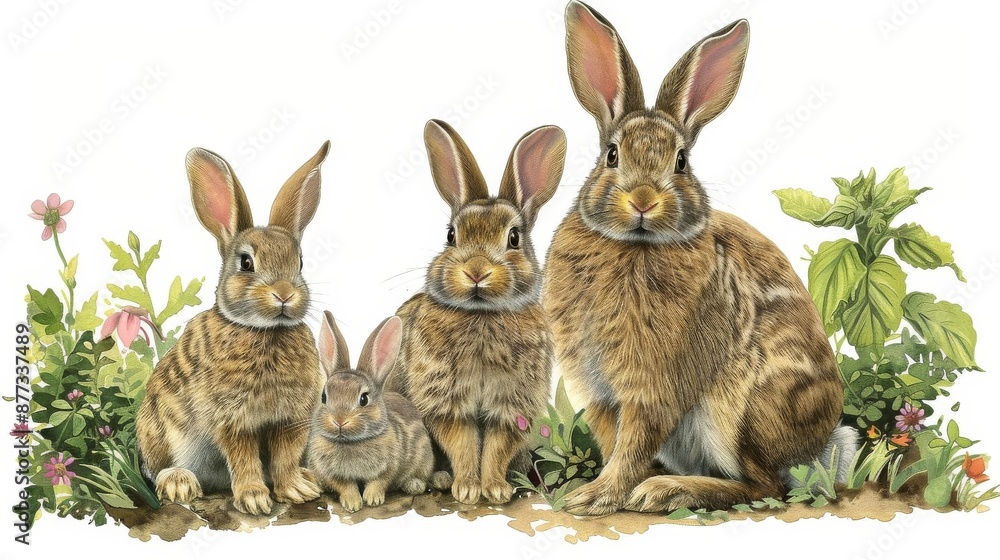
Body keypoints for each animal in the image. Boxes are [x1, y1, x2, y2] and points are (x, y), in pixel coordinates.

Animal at [136, 141, 330, 515]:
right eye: (246, 263)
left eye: (299, 262)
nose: (285, 293)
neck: (266, 331)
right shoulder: (233, 419)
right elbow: (243, 458)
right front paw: (254, 498)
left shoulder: (292, 418)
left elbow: (285, 456)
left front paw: (296, 489)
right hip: (159, 430)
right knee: (156, 468)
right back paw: (179, 483)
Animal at [307, 312, 449, 513]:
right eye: (324, 397)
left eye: (364, 399)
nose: (339, 421)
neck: (350, 442)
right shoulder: (326, 471)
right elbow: (344, 485)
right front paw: (353, 503)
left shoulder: (390, 464)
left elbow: (380, 481)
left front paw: (372, 499)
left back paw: (414, 484)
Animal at [384, 120, 566, 505]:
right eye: (451, 235)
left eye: (514, 238)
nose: (477, 271)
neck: (483, 315)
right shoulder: (446, 399)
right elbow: (463, 442)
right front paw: (468, 488)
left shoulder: (512, 404)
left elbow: (496, 446)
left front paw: (494, 489)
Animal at [541, 1, 857, 516]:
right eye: (612, 154)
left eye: (681, 161)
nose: (643, 200)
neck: (636, 244)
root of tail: (819, 446)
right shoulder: (600, 391)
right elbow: (614, 439)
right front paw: (602, 491)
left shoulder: (655, 382)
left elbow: (634, 439)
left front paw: (595, 497)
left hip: (737, 414)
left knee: (766, 487)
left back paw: (669, 491)